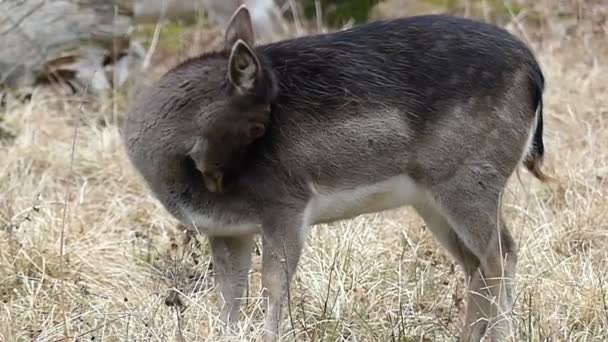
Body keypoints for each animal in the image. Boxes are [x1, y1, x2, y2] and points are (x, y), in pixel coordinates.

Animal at [122, 6, 548, 342]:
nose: (218, 180)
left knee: (502, 253)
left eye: (261, 127)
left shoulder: (285, 207)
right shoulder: (227, 230)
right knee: (475, 263)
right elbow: (229, 298)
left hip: (470, 178)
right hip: (431, 198)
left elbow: (274, 287)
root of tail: (534, 72)